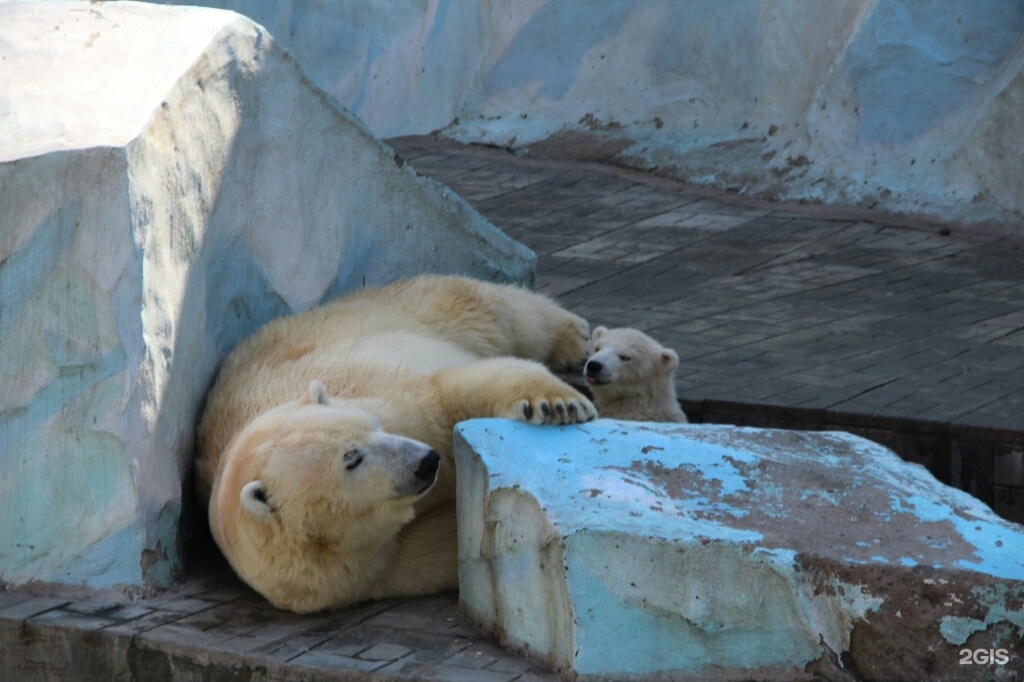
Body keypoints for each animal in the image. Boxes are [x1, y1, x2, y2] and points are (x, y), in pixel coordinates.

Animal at [194, 274, 593, 614]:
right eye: (352, 459)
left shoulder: (388, 400)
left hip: (400, 310)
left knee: (496, 311)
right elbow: (435, 551)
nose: (426, 462)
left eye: (372, 427)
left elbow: (451, 395)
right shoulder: (356, 569)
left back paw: (574, 339)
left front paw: (557, 404)